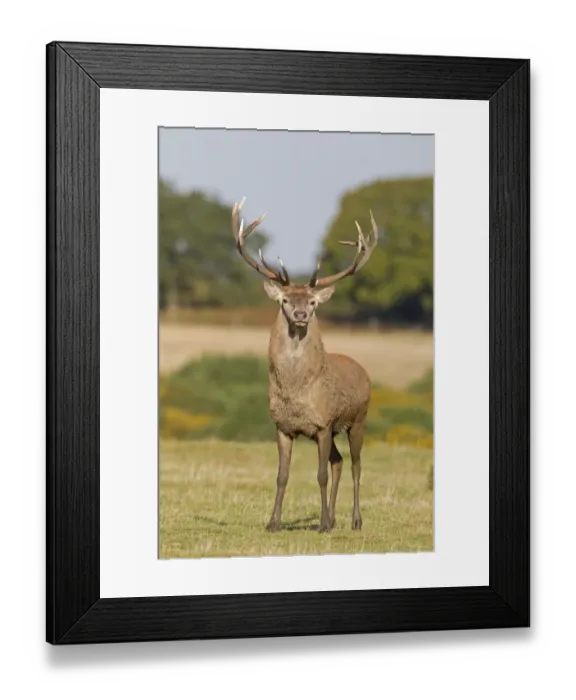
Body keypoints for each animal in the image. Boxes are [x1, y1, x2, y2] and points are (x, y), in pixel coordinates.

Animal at [231, 198, 378, 533]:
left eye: (312, 302)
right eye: (285, 300)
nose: (300, 315)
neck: (296, 393)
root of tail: (363, 371)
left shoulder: (323, 424)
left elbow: (320, 475)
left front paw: (321, 524)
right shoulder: (284, 427)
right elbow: (282, 476)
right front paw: (273, 522)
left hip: (358, 419)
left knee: (355, 464)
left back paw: (354, 520)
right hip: (335, 430)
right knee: (338, 462)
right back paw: (334, 517)